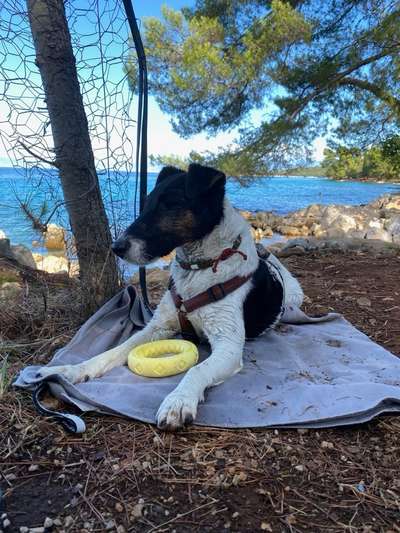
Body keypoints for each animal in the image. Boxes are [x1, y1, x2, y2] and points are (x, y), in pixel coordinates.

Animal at [38, 162, 304, 428]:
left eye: (170, 204)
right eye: (145, 204)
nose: (116, 247)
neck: (200, 267)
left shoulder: (228, 344)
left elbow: (196, 369)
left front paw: (179, 400)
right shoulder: (157, 327)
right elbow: (113, 351)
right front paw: (71, 370)